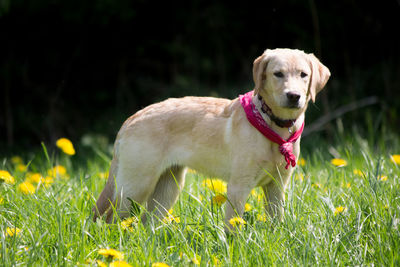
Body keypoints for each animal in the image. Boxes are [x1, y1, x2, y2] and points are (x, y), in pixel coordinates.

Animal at [94, 48, 332, 232]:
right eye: (278, 74)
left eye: (303, 74)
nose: (294, 96)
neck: (273, 125)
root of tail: (130, 120)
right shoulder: (239, 186)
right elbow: (233, 226)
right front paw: (234, 248)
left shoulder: (277, 185)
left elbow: (276, 222)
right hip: (136, 187)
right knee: (109, 219)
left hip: (168, 187)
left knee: (146, 222)